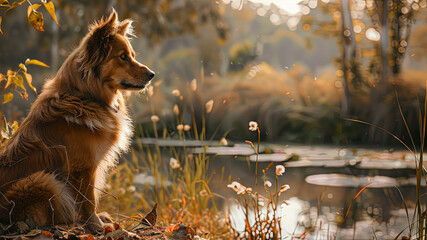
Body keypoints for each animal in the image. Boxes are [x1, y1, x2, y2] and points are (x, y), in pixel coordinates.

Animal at [0, 10, 154, 232]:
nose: (152, 75)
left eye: (132, 55)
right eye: (123, 56)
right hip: (42, 180)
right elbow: (89, 199)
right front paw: (96, 225)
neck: (85, 96)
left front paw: (97, 220)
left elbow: (91, 198)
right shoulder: (83, 167)